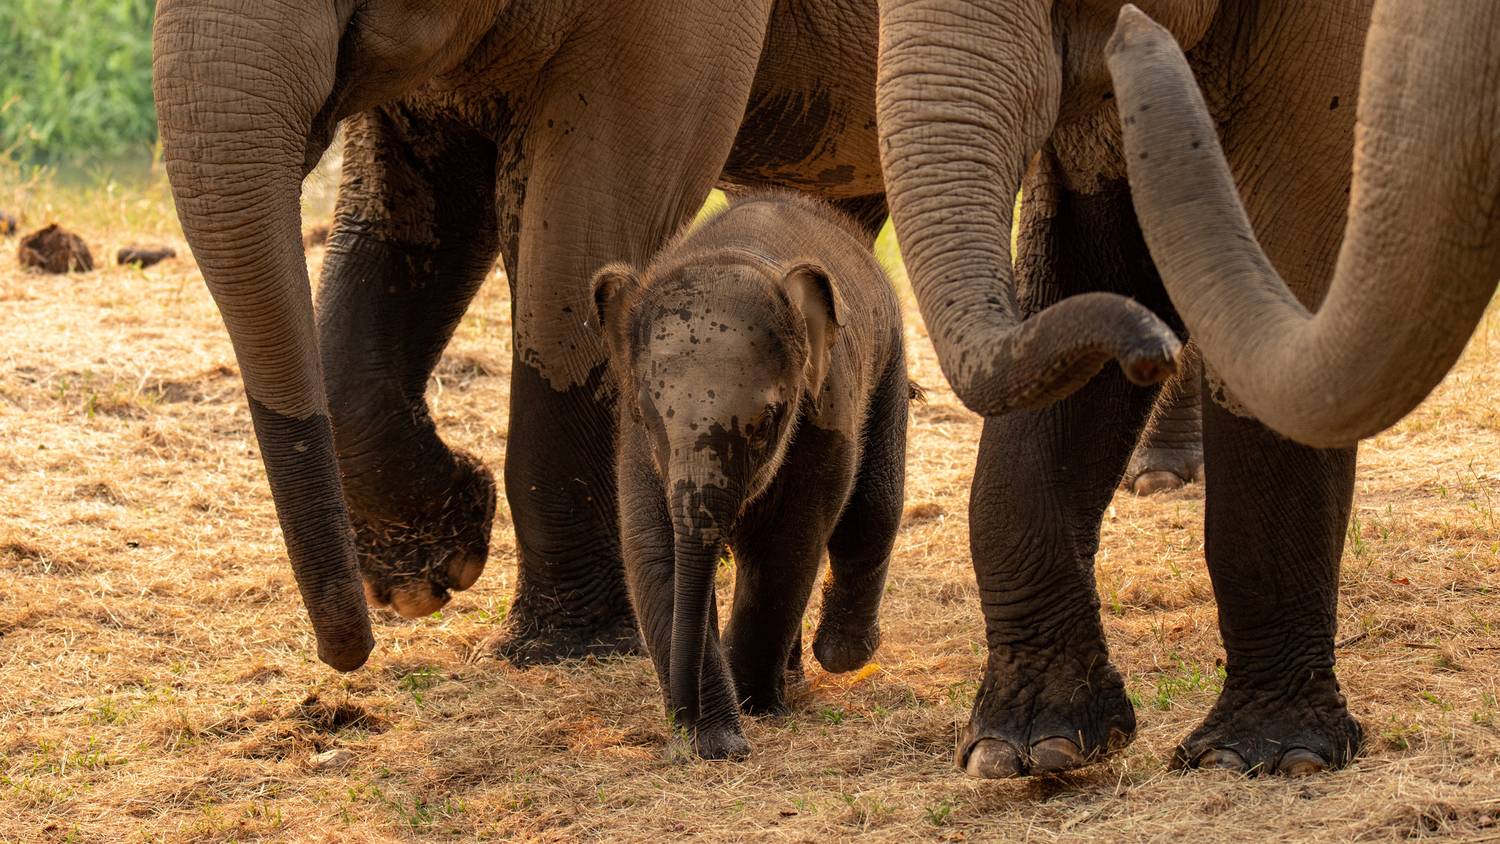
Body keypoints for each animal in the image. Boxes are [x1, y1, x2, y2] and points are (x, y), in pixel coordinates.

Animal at [591, 194, 906, 761]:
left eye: (767, 422)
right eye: (648, 415)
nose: (681, 720)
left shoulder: (825, 415)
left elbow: (784, 551)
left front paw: (752, 710)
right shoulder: (634, 444)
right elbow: (656, 550)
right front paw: (719, 739)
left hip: (888, 362)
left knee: (872, 508)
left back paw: (840, 654)